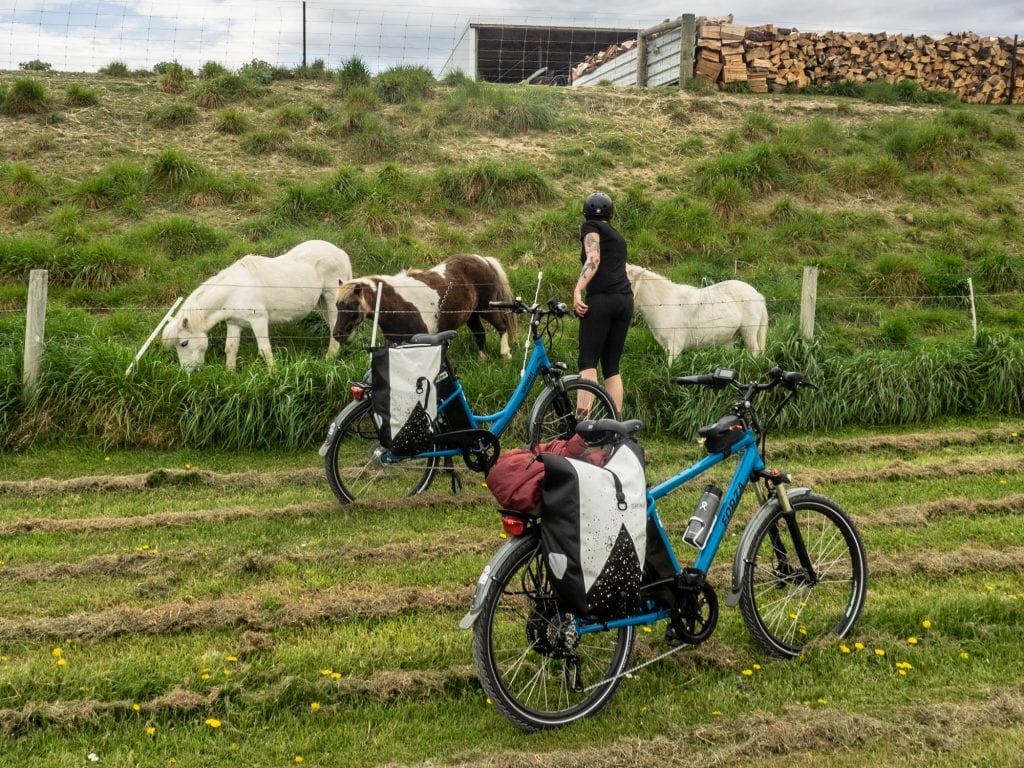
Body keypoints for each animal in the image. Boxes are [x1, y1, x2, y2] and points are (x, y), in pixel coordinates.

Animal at [159, 240, 352, 372]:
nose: (189, 371)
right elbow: (230, 349)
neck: (234, 291)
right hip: (322, 302)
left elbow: (265, 350)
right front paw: (230, 374)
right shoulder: (234, 323)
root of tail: (341, 253)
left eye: (184, 343)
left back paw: (329, 358)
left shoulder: (259, 320)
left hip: (331, 299)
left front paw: (273, 374)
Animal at [331, 253, 516, 360]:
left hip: (486, 308)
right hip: (472, 314)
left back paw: (506, 354)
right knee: (480, 332)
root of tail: (484, 260)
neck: (398, 306)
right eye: (338, 305)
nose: (338, 334)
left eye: (351, 306)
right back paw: (482, 359)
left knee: (502, 326)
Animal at [622, 264, 770, 364]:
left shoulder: (675, 346)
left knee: (755, 351)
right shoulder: (669, 347)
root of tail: (758, 295)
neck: (665, 304)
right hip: (731, 336)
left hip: (749, 331)